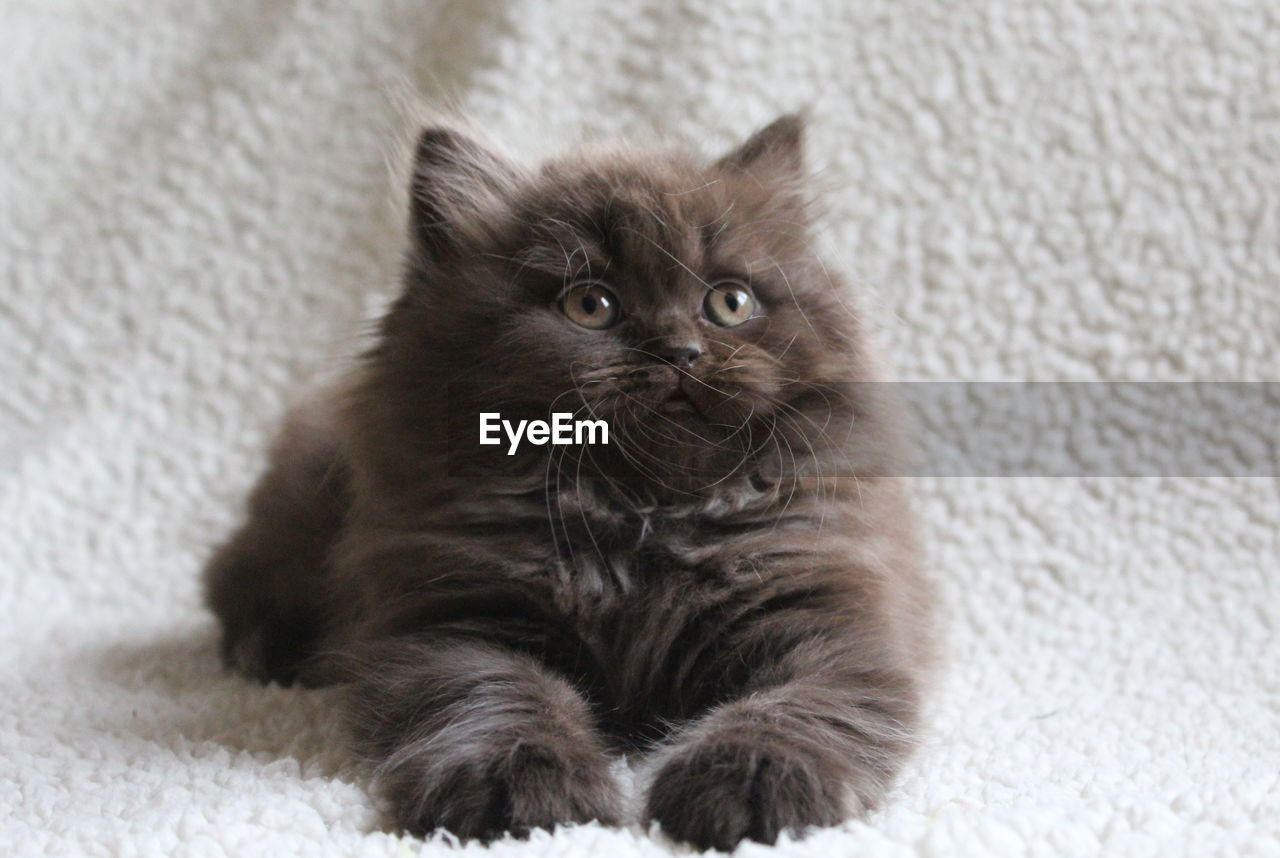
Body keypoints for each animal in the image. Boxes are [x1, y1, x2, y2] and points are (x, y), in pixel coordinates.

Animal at [204, 115, 936, 855]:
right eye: (590, 305)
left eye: (729, 302)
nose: (679, 352)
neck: (639, 516)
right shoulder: (450, 616)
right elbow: (499, 696)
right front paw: (523, 788)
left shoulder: (823, 610)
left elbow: (792, 707)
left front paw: (752, 782)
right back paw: (269, 651)